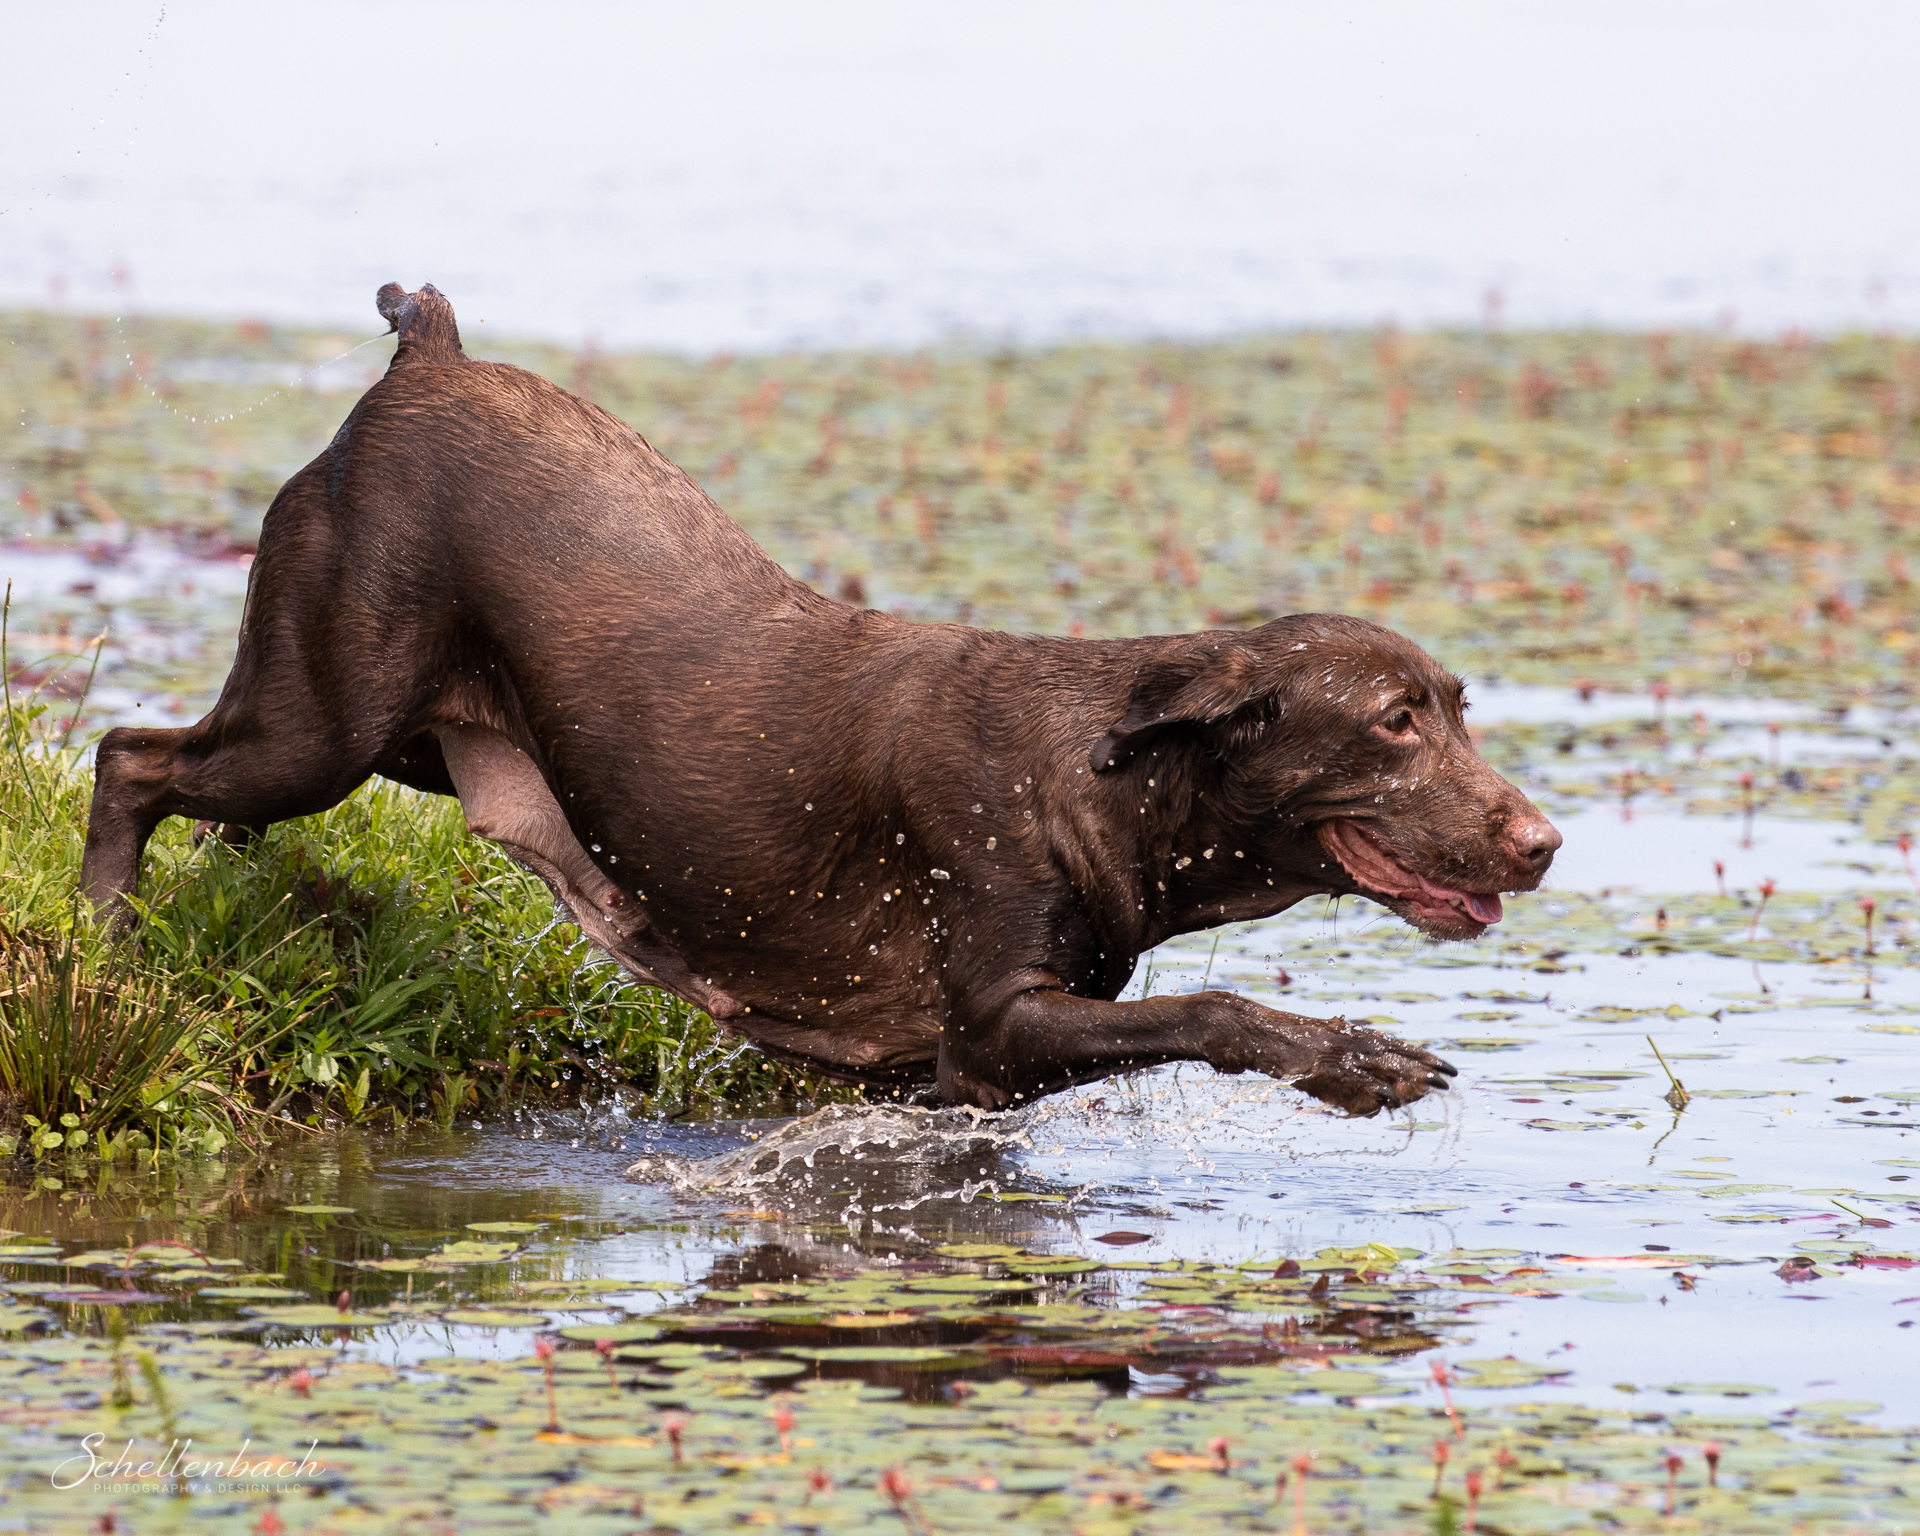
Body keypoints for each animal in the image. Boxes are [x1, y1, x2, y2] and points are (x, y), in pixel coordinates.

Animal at [82, 283, 1559, 1114]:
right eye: (1393, 723)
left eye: (1462, 706)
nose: (1545, 844)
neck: (1106, 783)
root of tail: (427, 361)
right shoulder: (991, 1031)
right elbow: (1214, 1011)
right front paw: (1359, 1060)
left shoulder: (953, 1085)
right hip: (320, 718)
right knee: (128, 757)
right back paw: (107, 945)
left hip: (419, 746)